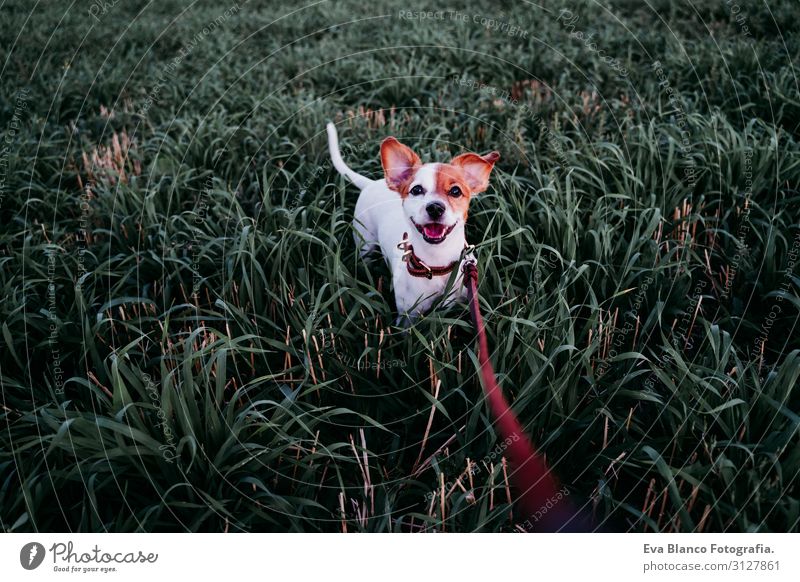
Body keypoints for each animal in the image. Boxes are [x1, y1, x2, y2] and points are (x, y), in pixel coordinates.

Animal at [326, 124, 500, 324]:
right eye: (417, 190)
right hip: (365, 243)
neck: (436, 264)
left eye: (456, 191)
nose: (435, 207)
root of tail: (371, 184)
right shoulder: (408, 316)